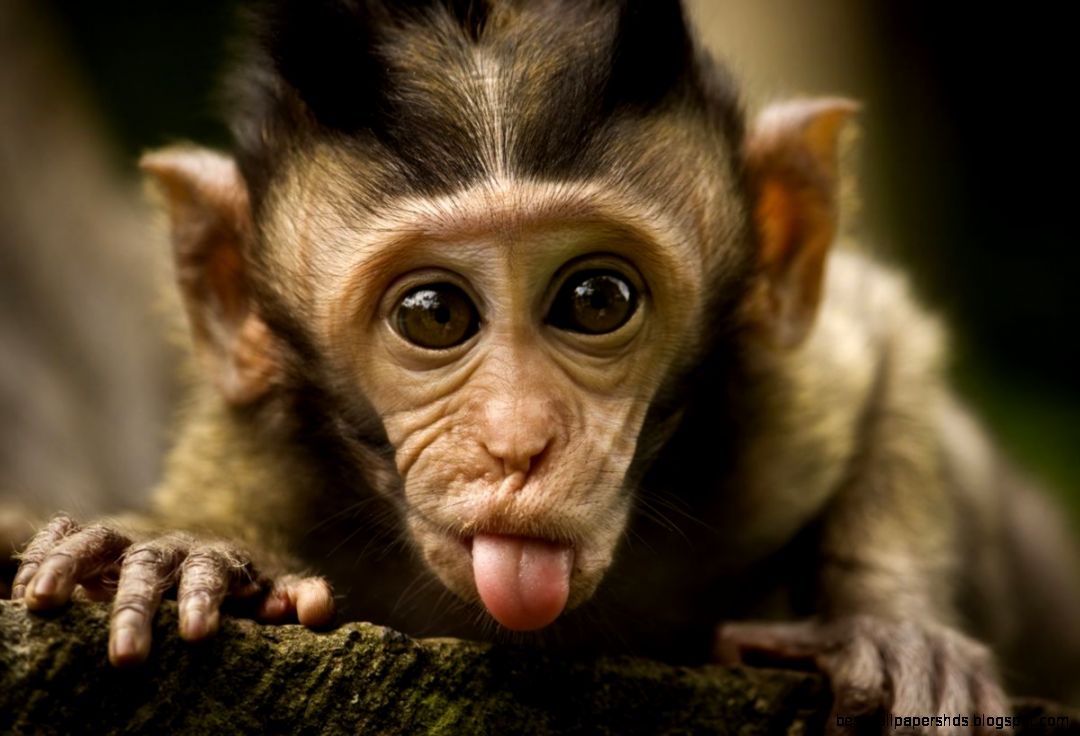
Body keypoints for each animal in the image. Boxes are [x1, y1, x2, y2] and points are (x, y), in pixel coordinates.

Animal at [9, 0, 1080, 730]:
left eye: (596, 300)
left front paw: (892, 629)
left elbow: (887, 341)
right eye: (434, 315)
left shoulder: (783, 412)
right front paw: (187, 552)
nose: (518, 443)